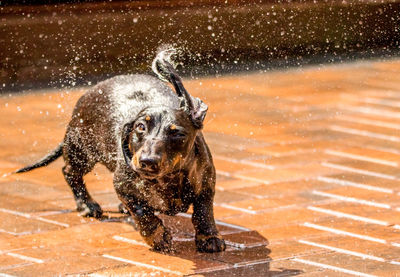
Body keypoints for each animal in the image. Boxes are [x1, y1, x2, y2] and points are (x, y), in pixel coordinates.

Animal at [14, 48, 225, 252]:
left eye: (177, 133)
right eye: (140, 127)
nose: (147, 161)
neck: (167, 178)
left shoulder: (206, 181)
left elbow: (203, 211)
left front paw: (209, 238)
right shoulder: (122, 185)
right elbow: (142, 213)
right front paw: (158, 237)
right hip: (82, 151)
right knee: (69, 172)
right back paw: (87, 205)